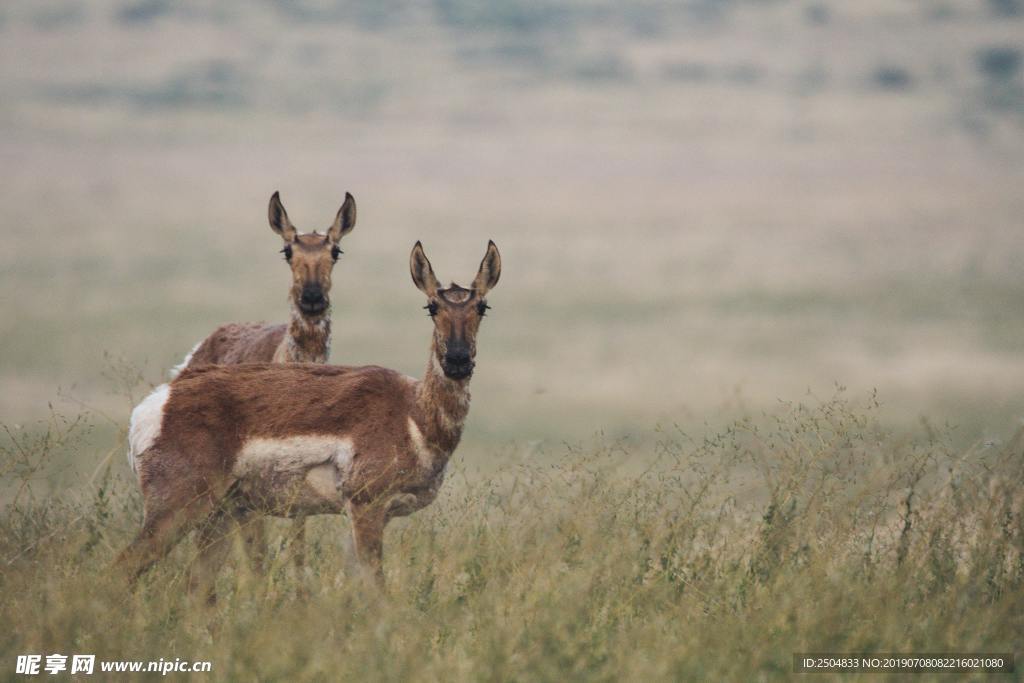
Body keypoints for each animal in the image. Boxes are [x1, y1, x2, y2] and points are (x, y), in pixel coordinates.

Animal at [118, 241, 501, 601]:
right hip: (179, 509)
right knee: (122, 570)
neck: (412, 412)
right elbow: (377, 592)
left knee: (195, 589)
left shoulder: (363, 516)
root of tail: (158, 402)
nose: (457, 361)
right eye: (432, 307)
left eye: (481, 306)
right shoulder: (366, 507)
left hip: (220, 516)